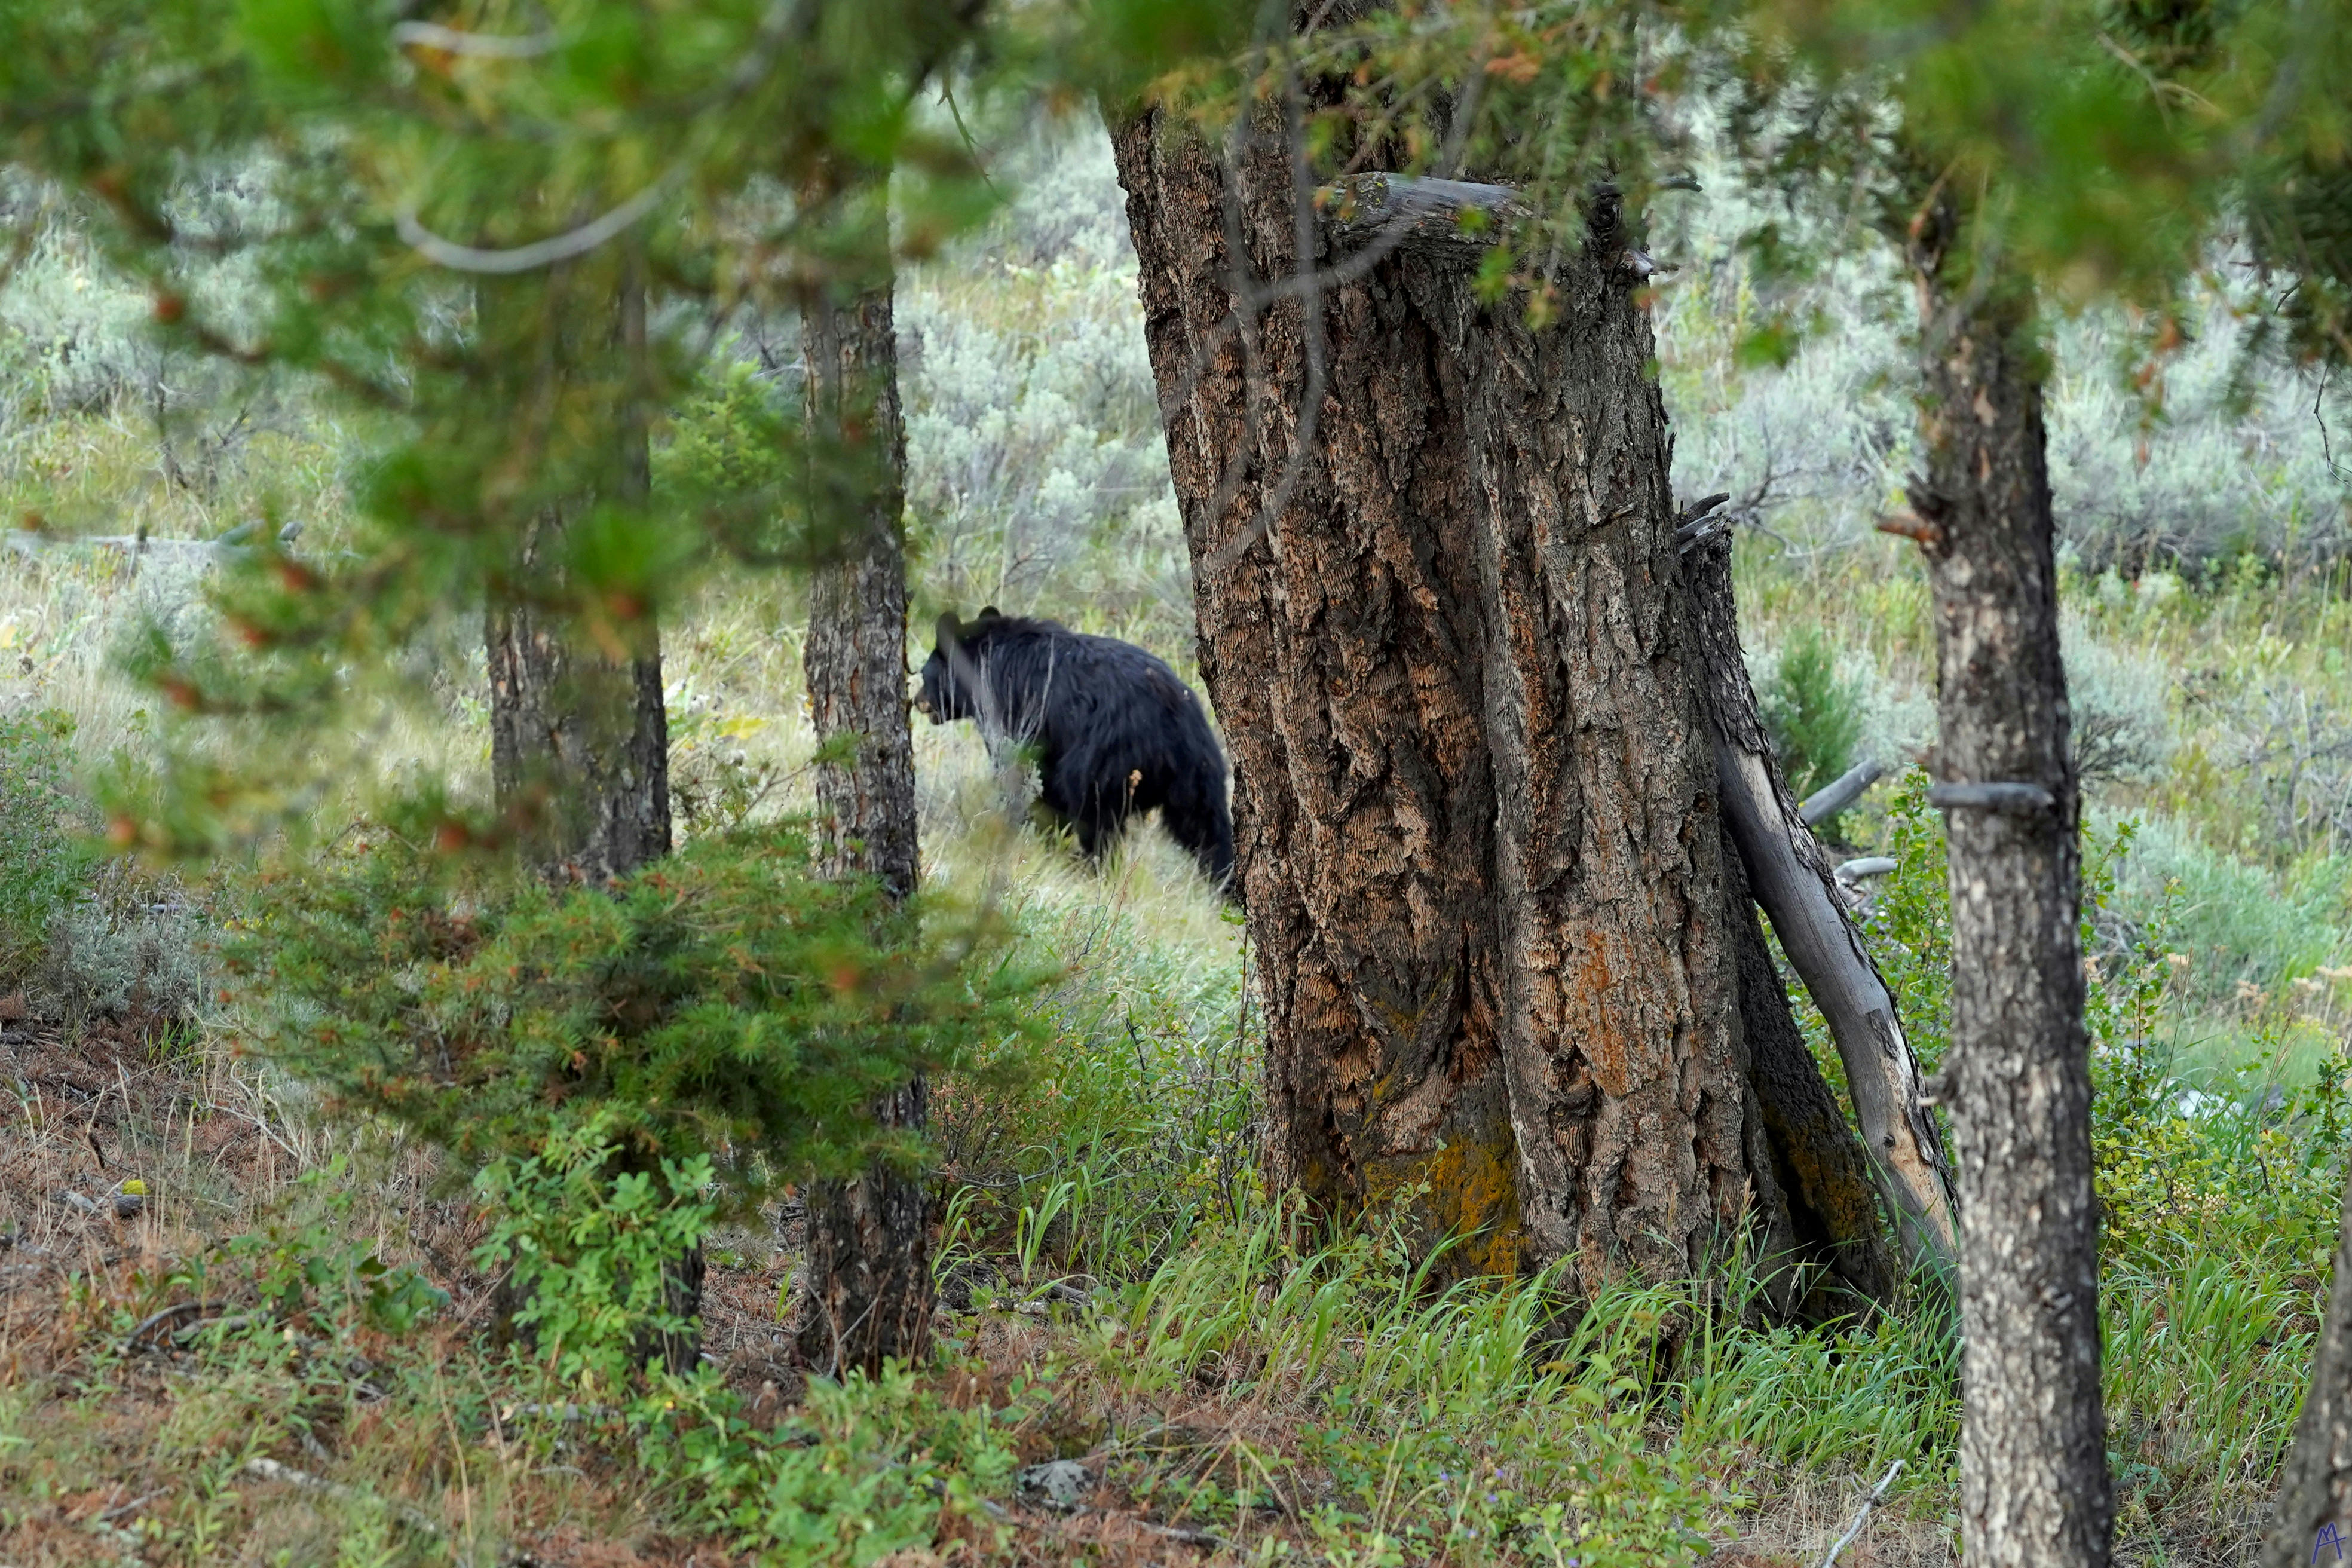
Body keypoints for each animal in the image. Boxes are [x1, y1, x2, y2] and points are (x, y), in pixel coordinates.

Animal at [914, 607, 1235, 890]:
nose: (918, 701)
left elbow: (1023, 777)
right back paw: (1225, 886)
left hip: (1105, 760)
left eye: (923, 673)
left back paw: (1093, 867)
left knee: (1094, 815)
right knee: (1208, 828)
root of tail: (1172, 724)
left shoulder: (1015, 713)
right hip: (1200, 773)